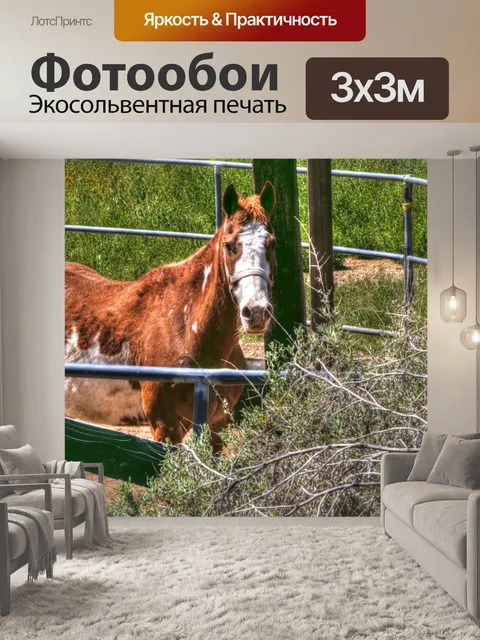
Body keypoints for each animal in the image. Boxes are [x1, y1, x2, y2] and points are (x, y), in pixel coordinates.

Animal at [65, 181, 277, 450]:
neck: (185, 328)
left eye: (272, 243)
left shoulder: (218, 425)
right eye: (229, 245)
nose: (257, 312)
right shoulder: (166, 427)